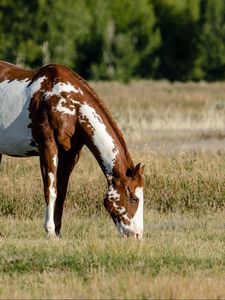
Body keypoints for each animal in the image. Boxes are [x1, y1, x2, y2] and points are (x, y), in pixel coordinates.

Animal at [0, 60, 144, 239]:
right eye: (134, 198)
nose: (137, 235)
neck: (71, 105)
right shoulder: (48, 146)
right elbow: (50, 190)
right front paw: (50, 231)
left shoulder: (71, 154)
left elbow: (61, 193)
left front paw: (58, 232)